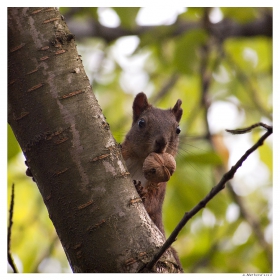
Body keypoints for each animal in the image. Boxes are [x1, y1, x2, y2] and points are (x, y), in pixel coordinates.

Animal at [121, 92, 183, 270]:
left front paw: (140, 192)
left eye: (178, 130)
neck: (141, 161)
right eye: (141, 123)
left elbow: (151, 204)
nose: (161, 142)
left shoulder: (159, 187)